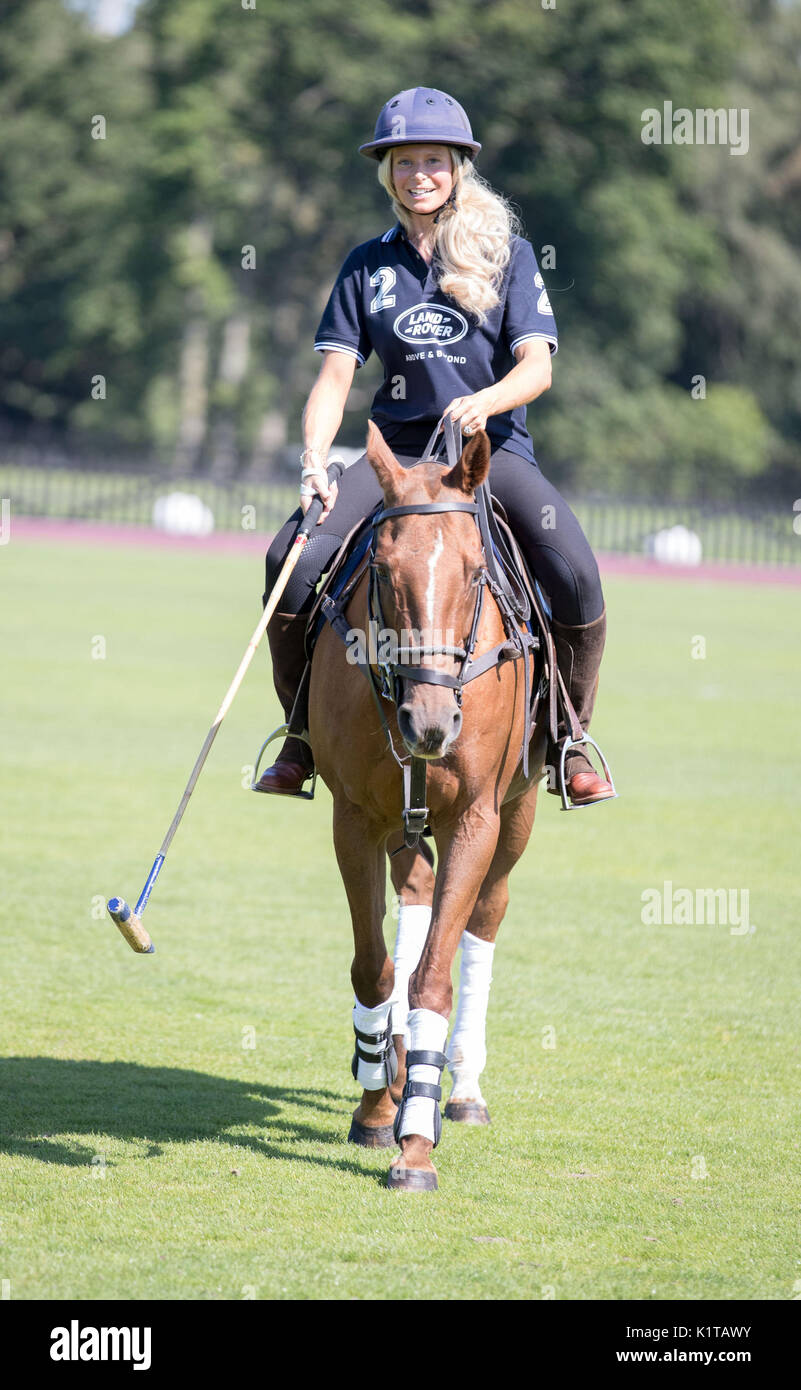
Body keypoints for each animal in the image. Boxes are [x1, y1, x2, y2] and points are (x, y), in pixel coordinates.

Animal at [305, 417, 545, 1189]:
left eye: (475, 573)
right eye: (382, 570)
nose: (430, 727)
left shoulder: (476, 816)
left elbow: (434, 976)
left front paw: (415, 1141)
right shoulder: (354, 816)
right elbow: (375, 966)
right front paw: (378, 1105)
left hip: (519, 812)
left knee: (486, 916)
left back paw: (459, 1088)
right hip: (401, 821)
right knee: (412, 896)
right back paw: (399, 1062)